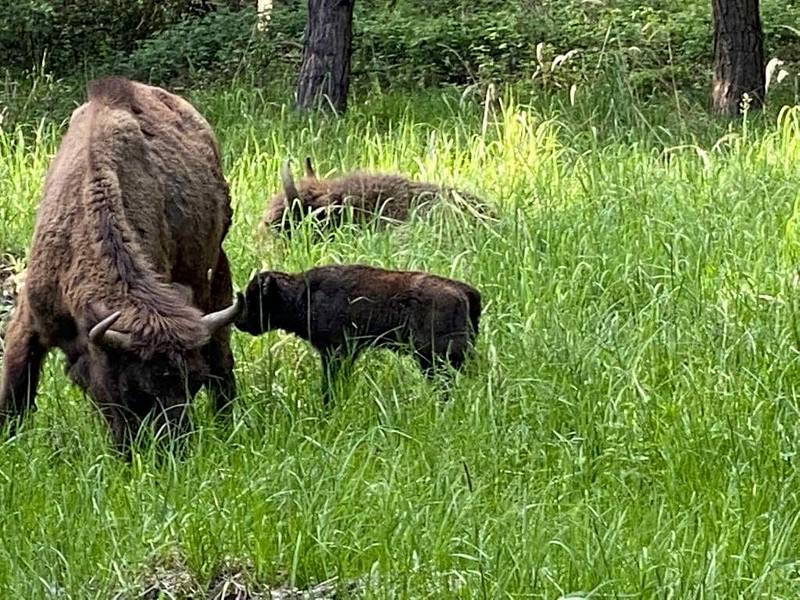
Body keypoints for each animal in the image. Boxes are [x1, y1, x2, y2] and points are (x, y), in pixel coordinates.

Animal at [1, 78, 242, 454]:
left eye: (193, 383)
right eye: (132, 388)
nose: (173, 450)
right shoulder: (31, 319)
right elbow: (15, 388)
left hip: (215, 269)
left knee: (222, 356)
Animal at [234, 264, 478, 406]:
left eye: (255, 297)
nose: (239, 321)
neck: (304, 293)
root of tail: (465, 291)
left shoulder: (335, 351)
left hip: (433, 357)